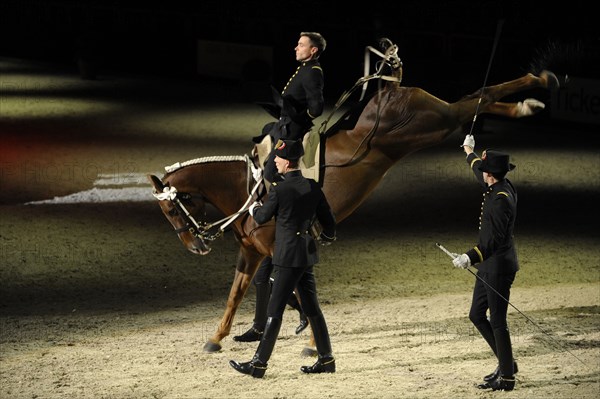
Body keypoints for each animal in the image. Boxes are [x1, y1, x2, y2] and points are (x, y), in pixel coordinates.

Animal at [146, 39, 556, 354]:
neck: (249, 189)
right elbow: (238, 294)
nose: (196, 246)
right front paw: (217, 338)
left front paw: (310, 339)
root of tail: (386, 89)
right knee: (475, 99)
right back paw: (528, 102)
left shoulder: (282, 249)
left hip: (433, 123)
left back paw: (539, 83)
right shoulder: (252, 252)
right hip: (435, 126)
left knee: (473, 101)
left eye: (172, 209)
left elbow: (295, 293)